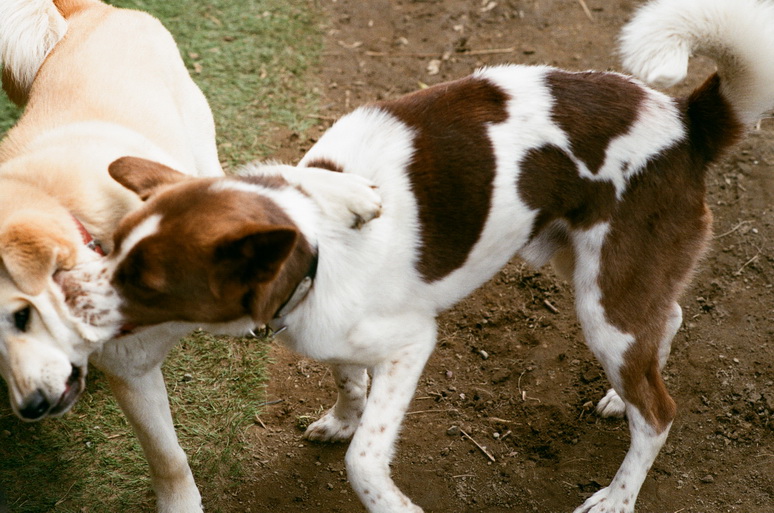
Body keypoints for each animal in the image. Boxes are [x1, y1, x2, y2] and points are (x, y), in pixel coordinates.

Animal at [59, 0, 774, 510]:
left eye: (147, 282)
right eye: (112, 250)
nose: (64, 299)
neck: (315, 253)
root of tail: (687, 121)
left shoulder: (411, 344)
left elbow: (365, 460)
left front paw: (388, 497)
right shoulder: (338, 339)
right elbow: (346, 381)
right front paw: (342, 418)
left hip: (605, 301)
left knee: (660, 413)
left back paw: (618, 496)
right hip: (595, 272)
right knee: (666, 320)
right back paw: (614, 399)